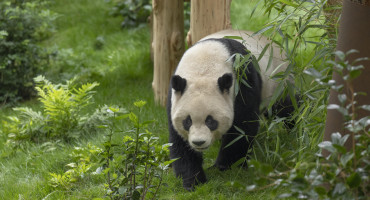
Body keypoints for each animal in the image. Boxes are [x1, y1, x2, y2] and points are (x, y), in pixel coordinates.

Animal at [168, 28, 292, 190]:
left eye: (210, 121)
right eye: (187, 121)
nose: (199, 142)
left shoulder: (242, 79)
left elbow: (242, 127)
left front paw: (225, 166)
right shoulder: (175, 96)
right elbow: (179, 142)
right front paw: (193, 181)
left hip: (278, 82)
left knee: (287, 108)